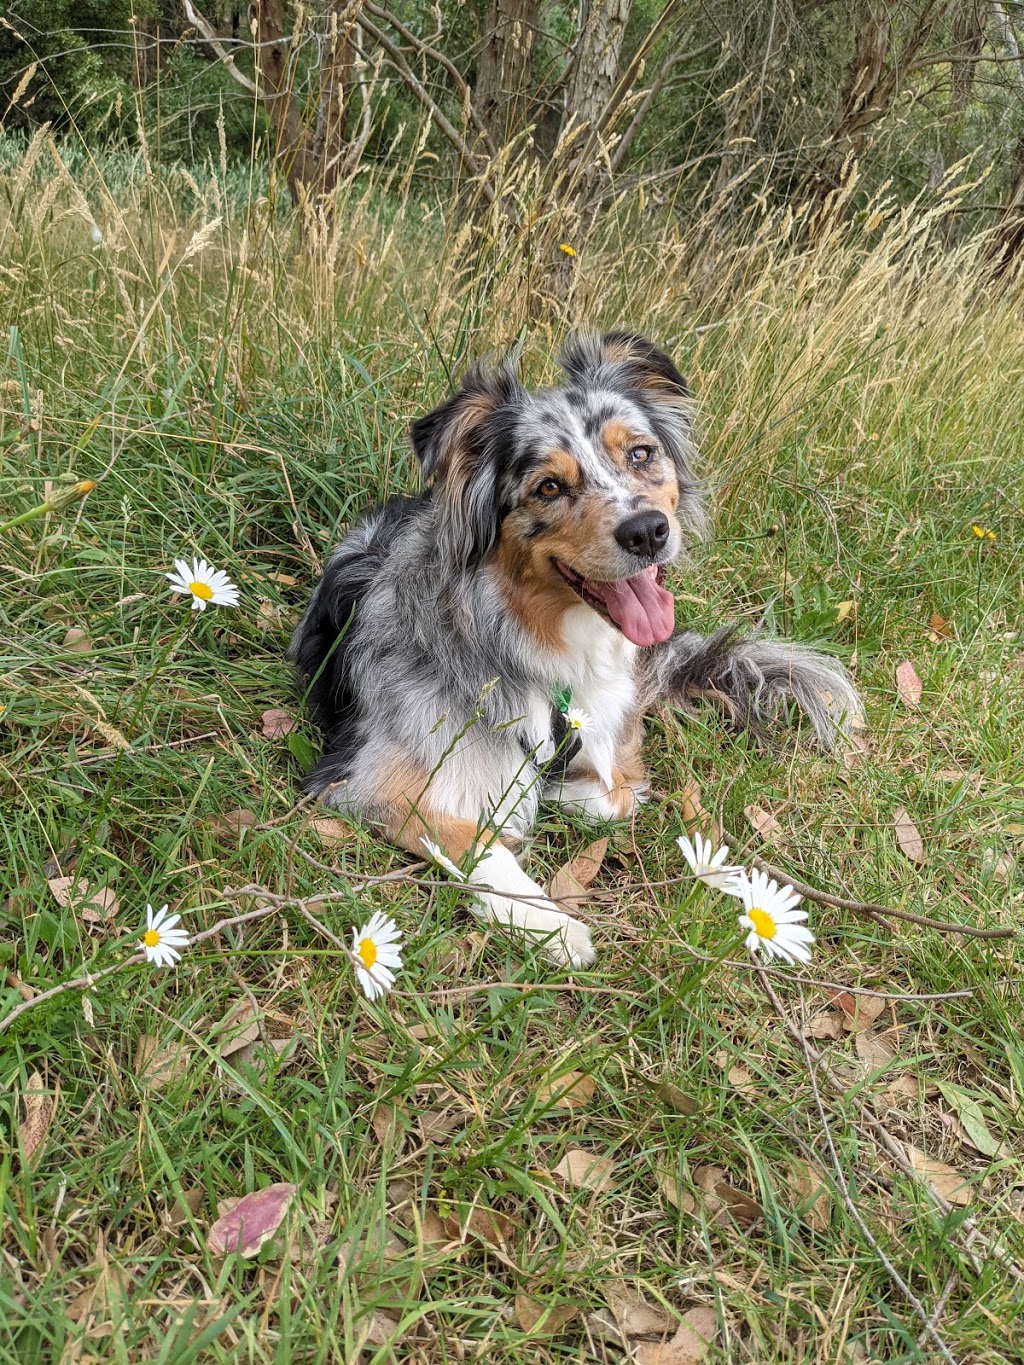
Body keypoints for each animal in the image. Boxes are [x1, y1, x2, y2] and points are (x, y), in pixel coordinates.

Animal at [292, 334, 862, 966]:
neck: (531, 642)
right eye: (549, 487)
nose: (648, 531)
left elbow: (617, 794)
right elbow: (478, 840)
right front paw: (551, 923)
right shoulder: (366, 782)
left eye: (639, 454)